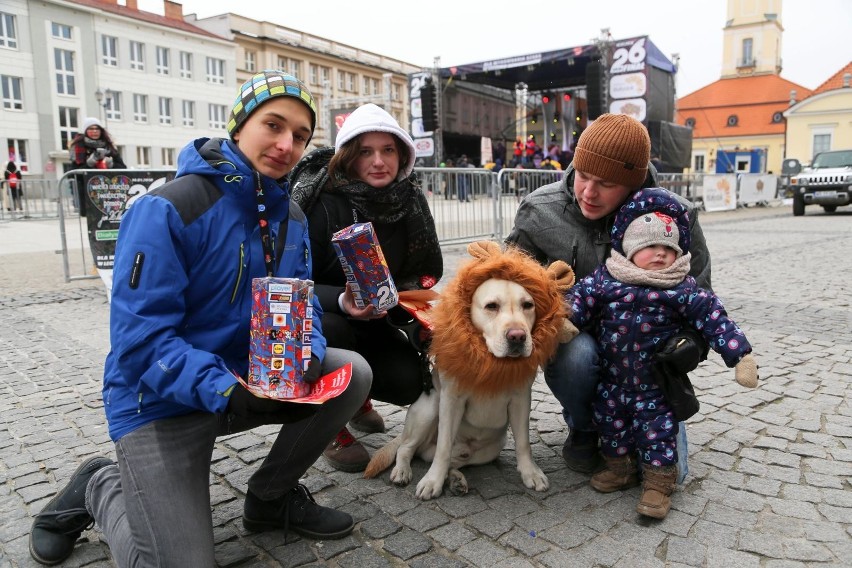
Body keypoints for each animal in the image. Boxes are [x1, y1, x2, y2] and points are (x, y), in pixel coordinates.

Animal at [362, 242, 576, 500]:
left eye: (528, 305)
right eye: (491, 306)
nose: (517, 337)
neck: (491, 363)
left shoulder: (521, 399)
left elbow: (523, 442)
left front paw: (531, 473)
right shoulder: (451, 401)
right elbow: (443, 446)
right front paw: (432, 481)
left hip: (490, 448)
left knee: (449, 460)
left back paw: (456, 480)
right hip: (429, 409)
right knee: (408, 448)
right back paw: (403, 471)